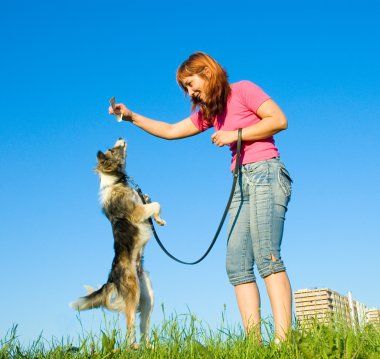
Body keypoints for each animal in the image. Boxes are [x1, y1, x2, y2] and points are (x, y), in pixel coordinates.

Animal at [70, 139, 166, 348]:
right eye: (113, 150)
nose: (121, 137)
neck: (115, 182)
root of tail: (111, 278)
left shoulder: (143, 202)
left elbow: (153, 202)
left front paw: (160, 221)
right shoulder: (137, 212)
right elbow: (156, 204)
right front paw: (159, 218)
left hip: (148, 296)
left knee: (143, 325)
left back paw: (148, 347)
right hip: (133, 292)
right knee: (130, 324)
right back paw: (134, 347)